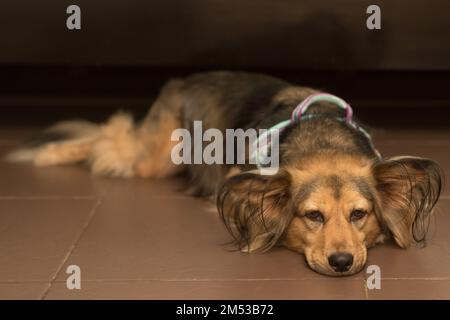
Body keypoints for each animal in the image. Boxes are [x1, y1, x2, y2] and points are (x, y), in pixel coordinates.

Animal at [7, 71, 442, 276]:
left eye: (359, 215)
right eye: (313, 216)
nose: (341, 262)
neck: (322, 138)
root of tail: (186, 78)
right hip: (159, 155)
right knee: (106, 138)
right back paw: (50, 152)